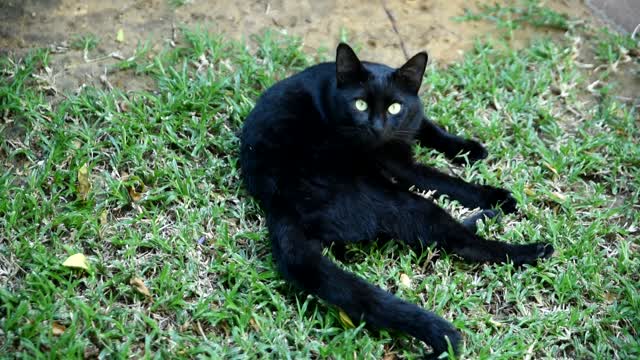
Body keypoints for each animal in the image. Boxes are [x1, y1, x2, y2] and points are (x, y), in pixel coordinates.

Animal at [238, 44, 552, 358]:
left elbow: (429, 126)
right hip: (399, 199)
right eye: (360, 105)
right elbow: (443, 180)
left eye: (394, 107)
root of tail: (279, 203)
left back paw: (486, 217)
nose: (376, 127)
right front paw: (495, 195)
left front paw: (468, 148)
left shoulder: (412, 115)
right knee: (459, 242)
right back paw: (531, 248)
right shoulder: (398, 164)